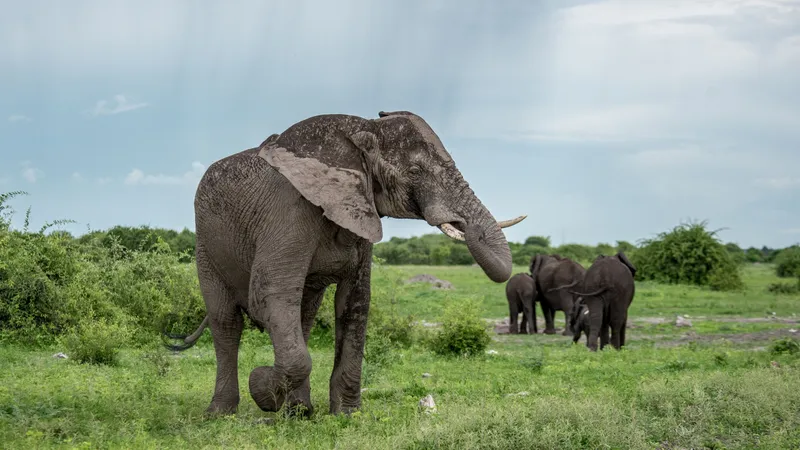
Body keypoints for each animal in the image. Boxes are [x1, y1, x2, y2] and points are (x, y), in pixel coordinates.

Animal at [161, 110, 526, 418]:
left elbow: (355, 302)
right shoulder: (288, 209)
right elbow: (269, 294)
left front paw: (347, 415)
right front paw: (262, 388)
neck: (360, 131)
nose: (466, 226)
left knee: (303, 317)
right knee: (227, 322)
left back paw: (299, 413)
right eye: (415, 172)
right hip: (205, 244)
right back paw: (221, 413)